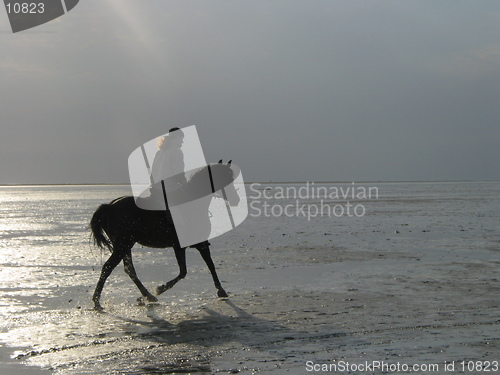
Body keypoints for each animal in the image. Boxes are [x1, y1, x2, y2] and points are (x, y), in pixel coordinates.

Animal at [90, 162, 240, 312]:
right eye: (226, 178)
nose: (236, 200)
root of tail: (109, 206)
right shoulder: (185, 246)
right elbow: (187, 271)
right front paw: (160, 289)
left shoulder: (196, 244)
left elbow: (206, 266)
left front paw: (221, 290)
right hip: (123, 245)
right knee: (108, 267)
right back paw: (97, 302)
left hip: (125, 246)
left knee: (129, 270)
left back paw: (147, 296)